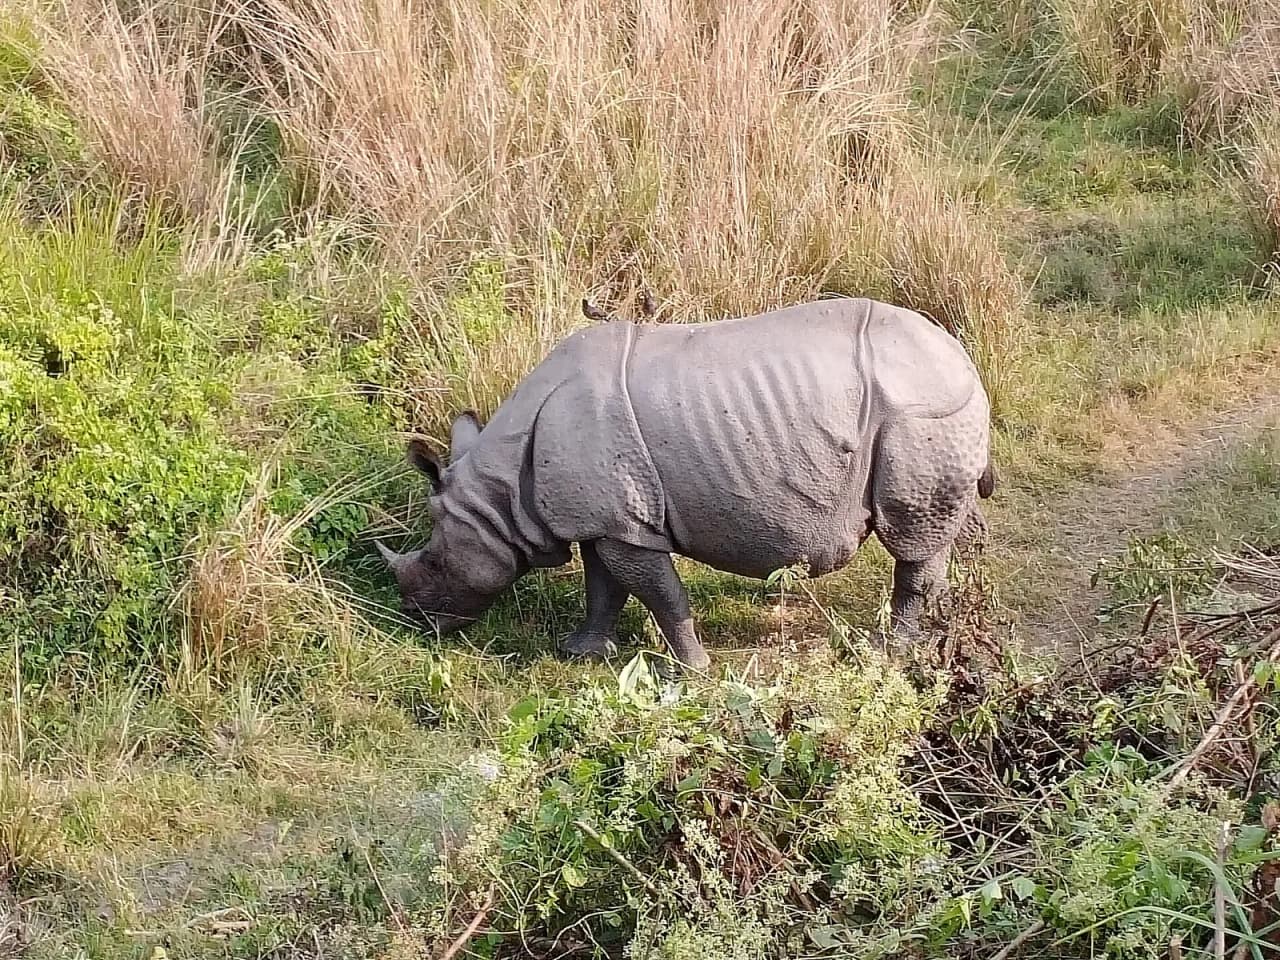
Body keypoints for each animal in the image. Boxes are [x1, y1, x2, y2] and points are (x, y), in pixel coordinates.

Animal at [377, 296, 996, 671]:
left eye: (434, 562)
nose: (417, 622)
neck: (500, 493)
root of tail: (964, 359)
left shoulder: (624, 524)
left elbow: (660, 593)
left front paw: (691, 670)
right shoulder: (608, 520)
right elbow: (604, 587)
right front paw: (581, 652)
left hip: (922, 413)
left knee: (912, 539)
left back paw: (887, 654)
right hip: (930, 409)